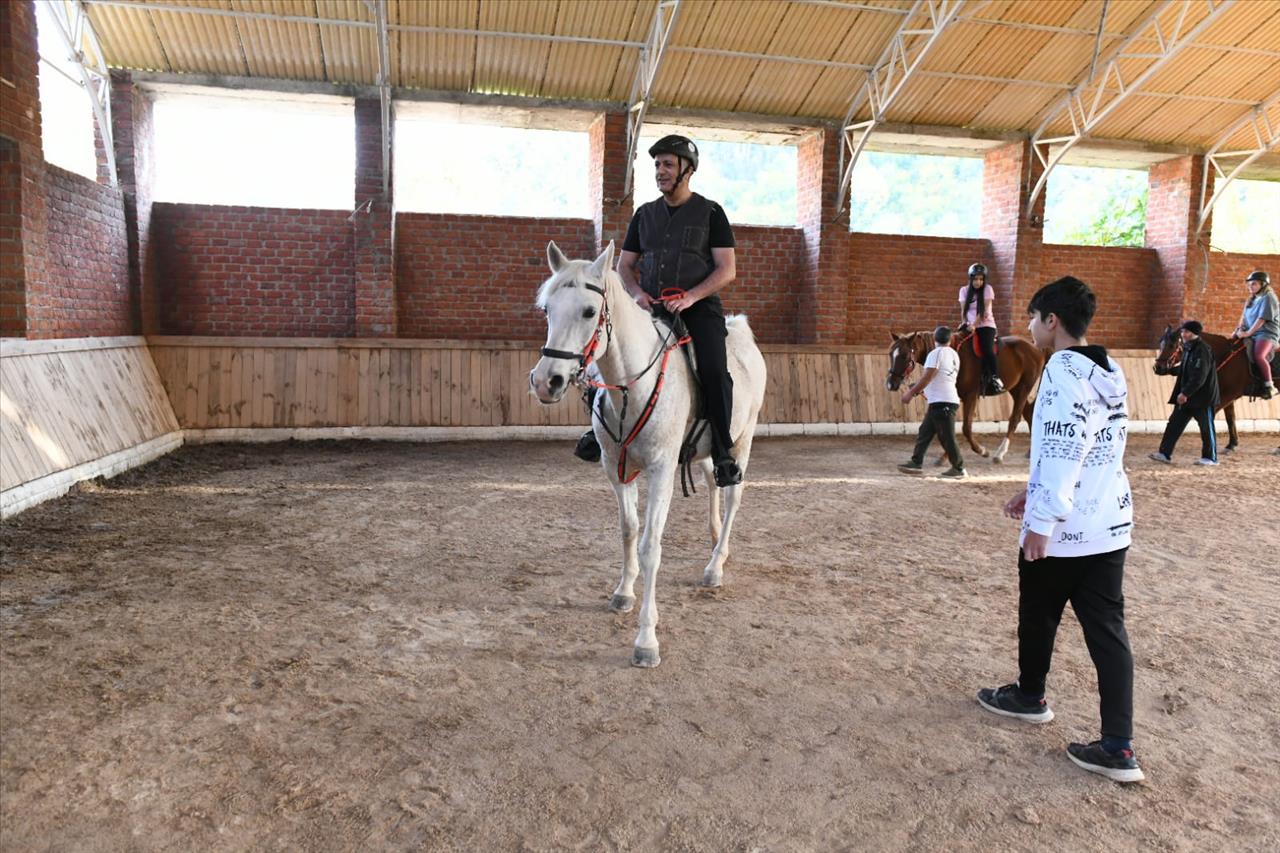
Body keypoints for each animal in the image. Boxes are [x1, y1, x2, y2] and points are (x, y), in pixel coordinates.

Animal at [527, 236, 762, 666]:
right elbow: (628, 530)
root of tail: (739, 330)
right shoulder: (615, 468)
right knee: (712, 484)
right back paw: (714, 541)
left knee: (734, 495)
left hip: (743, 440)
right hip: (708, 451)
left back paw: (715, 566)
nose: (545, 381)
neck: (632, 386)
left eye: (589, 311)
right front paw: (623, 592)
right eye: (548, 309)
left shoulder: (661, 472)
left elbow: (650, 545)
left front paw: (646, 640)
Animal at [885, 327, 1044, 461]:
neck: (952, 355)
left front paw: (981, 450)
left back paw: (1000, 453)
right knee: (1029, 414)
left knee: (1015, 419)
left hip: (1024, 388)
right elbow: (948, 428)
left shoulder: (970, 396)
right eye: (891, 354)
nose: (891, 384)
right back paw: (1031, 452)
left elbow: (966, 428)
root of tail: (1035, 348)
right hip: (1016, 389)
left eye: (904, 355)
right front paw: (946, 456)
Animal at [1157, 322, 1274, 450]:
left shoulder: (1230, 394)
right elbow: (1230, 418)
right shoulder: (1227, 394)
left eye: (1172, 345)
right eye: (1160, 343)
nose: (1157, 367)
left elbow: (1213, 415)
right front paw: (1232, 444)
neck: (1225, 355)